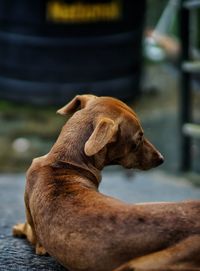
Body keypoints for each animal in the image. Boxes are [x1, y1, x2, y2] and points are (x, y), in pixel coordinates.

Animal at [12, 95, 200, 271]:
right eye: (137, 140)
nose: (162, 159)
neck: (63, 162)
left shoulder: (36, 238)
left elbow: (28, 229)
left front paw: (18, 227)